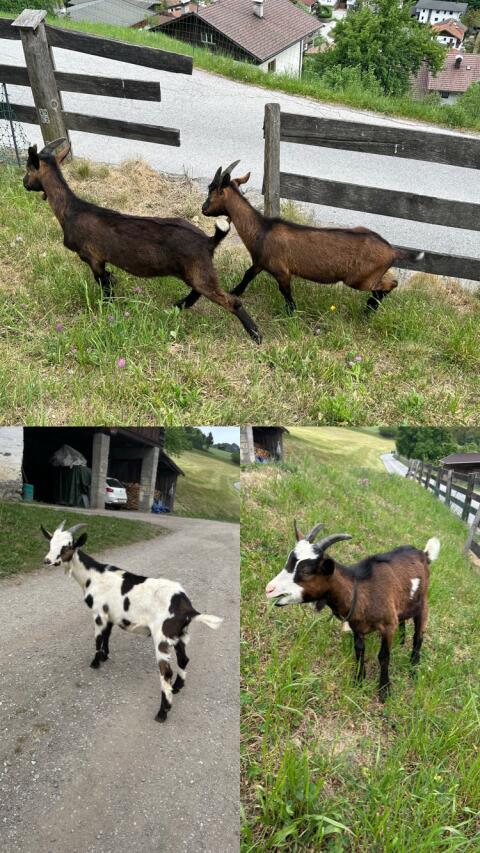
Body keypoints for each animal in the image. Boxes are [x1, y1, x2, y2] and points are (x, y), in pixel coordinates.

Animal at [23, 140, 261, 343]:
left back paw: (256, 335)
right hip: (197, 271)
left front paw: (108, 309)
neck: (71, 210)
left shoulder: (93, 257)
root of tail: (209, 241)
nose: (24, 183)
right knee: (198, 291)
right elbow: (109, 279)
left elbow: (104, 285)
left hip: (199, 271)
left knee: (231, 300)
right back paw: (179, 306)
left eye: (28, 168)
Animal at [41, 520, 223, 722]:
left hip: (162, 637)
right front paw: (104, 656)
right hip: (180, 635)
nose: (47, 560)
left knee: (166, 672)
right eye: (50, 542)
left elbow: (98, 638)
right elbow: (107, 635)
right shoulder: (111, 615)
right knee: (184, 659)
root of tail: (187, 607)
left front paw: (95, 662)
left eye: (67, 546)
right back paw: (177, 688)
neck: (92, 576)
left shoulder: (98, 614)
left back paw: (162, 712)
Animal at [185, 162, 424, 315]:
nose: (204, 209)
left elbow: (286, 292)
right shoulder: (261, 262)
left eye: (212, 190)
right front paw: (235, 292)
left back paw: (369, 310)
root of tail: (392, 250)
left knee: (390, 283)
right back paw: (370, 309)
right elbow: (247, 275)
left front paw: (292, 314)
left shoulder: (281, 270)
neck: (263, 229)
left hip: (360, 278)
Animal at [265, 520, 439, 700]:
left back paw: (413, 667)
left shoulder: (388, 625)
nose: (269, 589)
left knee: (418, 636)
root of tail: (424, 554)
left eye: (306, 571)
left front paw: (384, 690)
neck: (362, 591)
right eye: (289, 561)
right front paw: (359, 680)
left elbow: (384, 656)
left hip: (423, 604)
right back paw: (402, 640)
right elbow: (359, 650)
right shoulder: (358, 627)